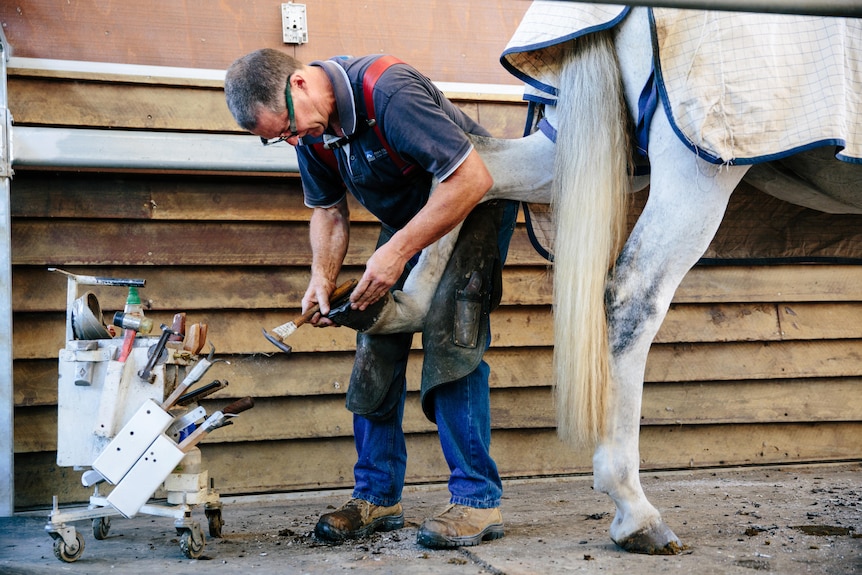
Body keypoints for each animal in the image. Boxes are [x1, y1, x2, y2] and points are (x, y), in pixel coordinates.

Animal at [344, 3, 862, 552]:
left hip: (570, 143)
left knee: (475, 168)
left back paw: (399, 306)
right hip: (701, 164)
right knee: (632, 298)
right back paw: (636, 512)